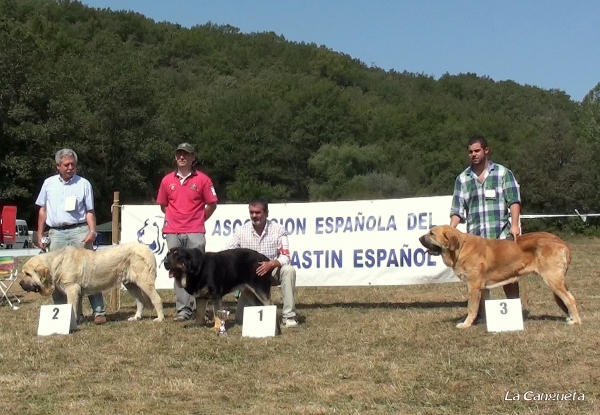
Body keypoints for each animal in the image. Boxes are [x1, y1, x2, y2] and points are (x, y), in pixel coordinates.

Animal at [19, 242, 164, 324]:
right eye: (24, 273)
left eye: (28, 274)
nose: (20, 283)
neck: (55, 264)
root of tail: (148, 250)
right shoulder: (77, 292)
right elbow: (77, 308)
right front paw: (76, 321)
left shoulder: (72, 289)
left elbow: (72, 307)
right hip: (131, 284)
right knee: (140, 301)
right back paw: (136, 317)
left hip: (144, 281)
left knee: (156, 299)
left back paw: (160, 319)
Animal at [418, 226, 580, 330]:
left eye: (431, 234)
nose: (419, 238)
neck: (460, 248)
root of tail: (561, 242)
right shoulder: (482, 288)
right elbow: (482, 305)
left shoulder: (473, 286)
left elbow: (471, 307)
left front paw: (466, 324)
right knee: (570, 297)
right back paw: (572, 318)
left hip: (552, 279)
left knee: (569, 299)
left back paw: (576, 322)